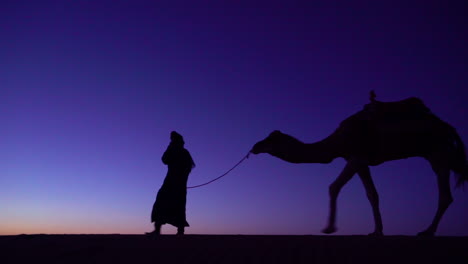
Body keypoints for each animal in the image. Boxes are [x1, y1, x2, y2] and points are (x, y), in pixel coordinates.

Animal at [250, 94, 466, 236]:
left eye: (271, 139)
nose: (255, 146)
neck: (336, 143)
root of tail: (447, 127)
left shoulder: (356, 157)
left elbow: (334, 186)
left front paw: (329, 228)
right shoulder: (361, 162)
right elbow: (372, 194)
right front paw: (377, 231)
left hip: (437, 152)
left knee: (445, 194)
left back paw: (427, 231)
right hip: (439, 154)